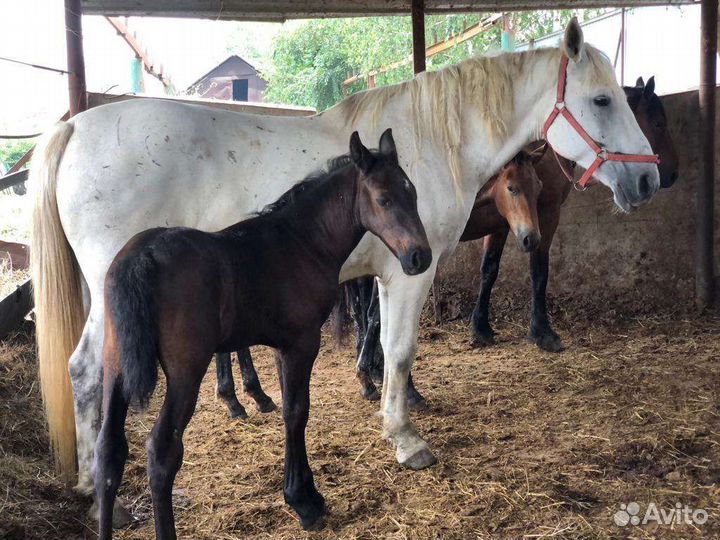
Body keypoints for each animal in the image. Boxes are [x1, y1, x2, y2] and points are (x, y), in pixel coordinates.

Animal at [94, 131, 432, 539]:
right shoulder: (302, 343)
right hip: (185, 372)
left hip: (115, 365)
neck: (302, 242)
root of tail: (139, 258)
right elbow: (297, 411)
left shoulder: (281, 346)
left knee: (109, 453)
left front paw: (303, 492)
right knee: (162, 451)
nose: (420, 257)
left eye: (412, 192)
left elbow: (289, 408)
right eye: (383, 199)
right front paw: (304, 502)